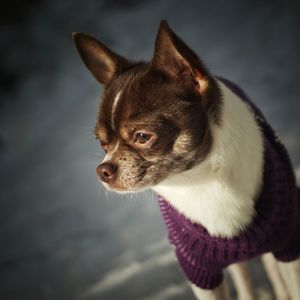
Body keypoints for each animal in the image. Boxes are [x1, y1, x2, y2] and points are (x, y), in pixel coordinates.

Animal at [72, 19, 300, 298]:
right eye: (102, 143)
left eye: (142, 137)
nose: (103, 170)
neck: (201, 178)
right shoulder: (200, 272)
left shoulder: (289, 246)